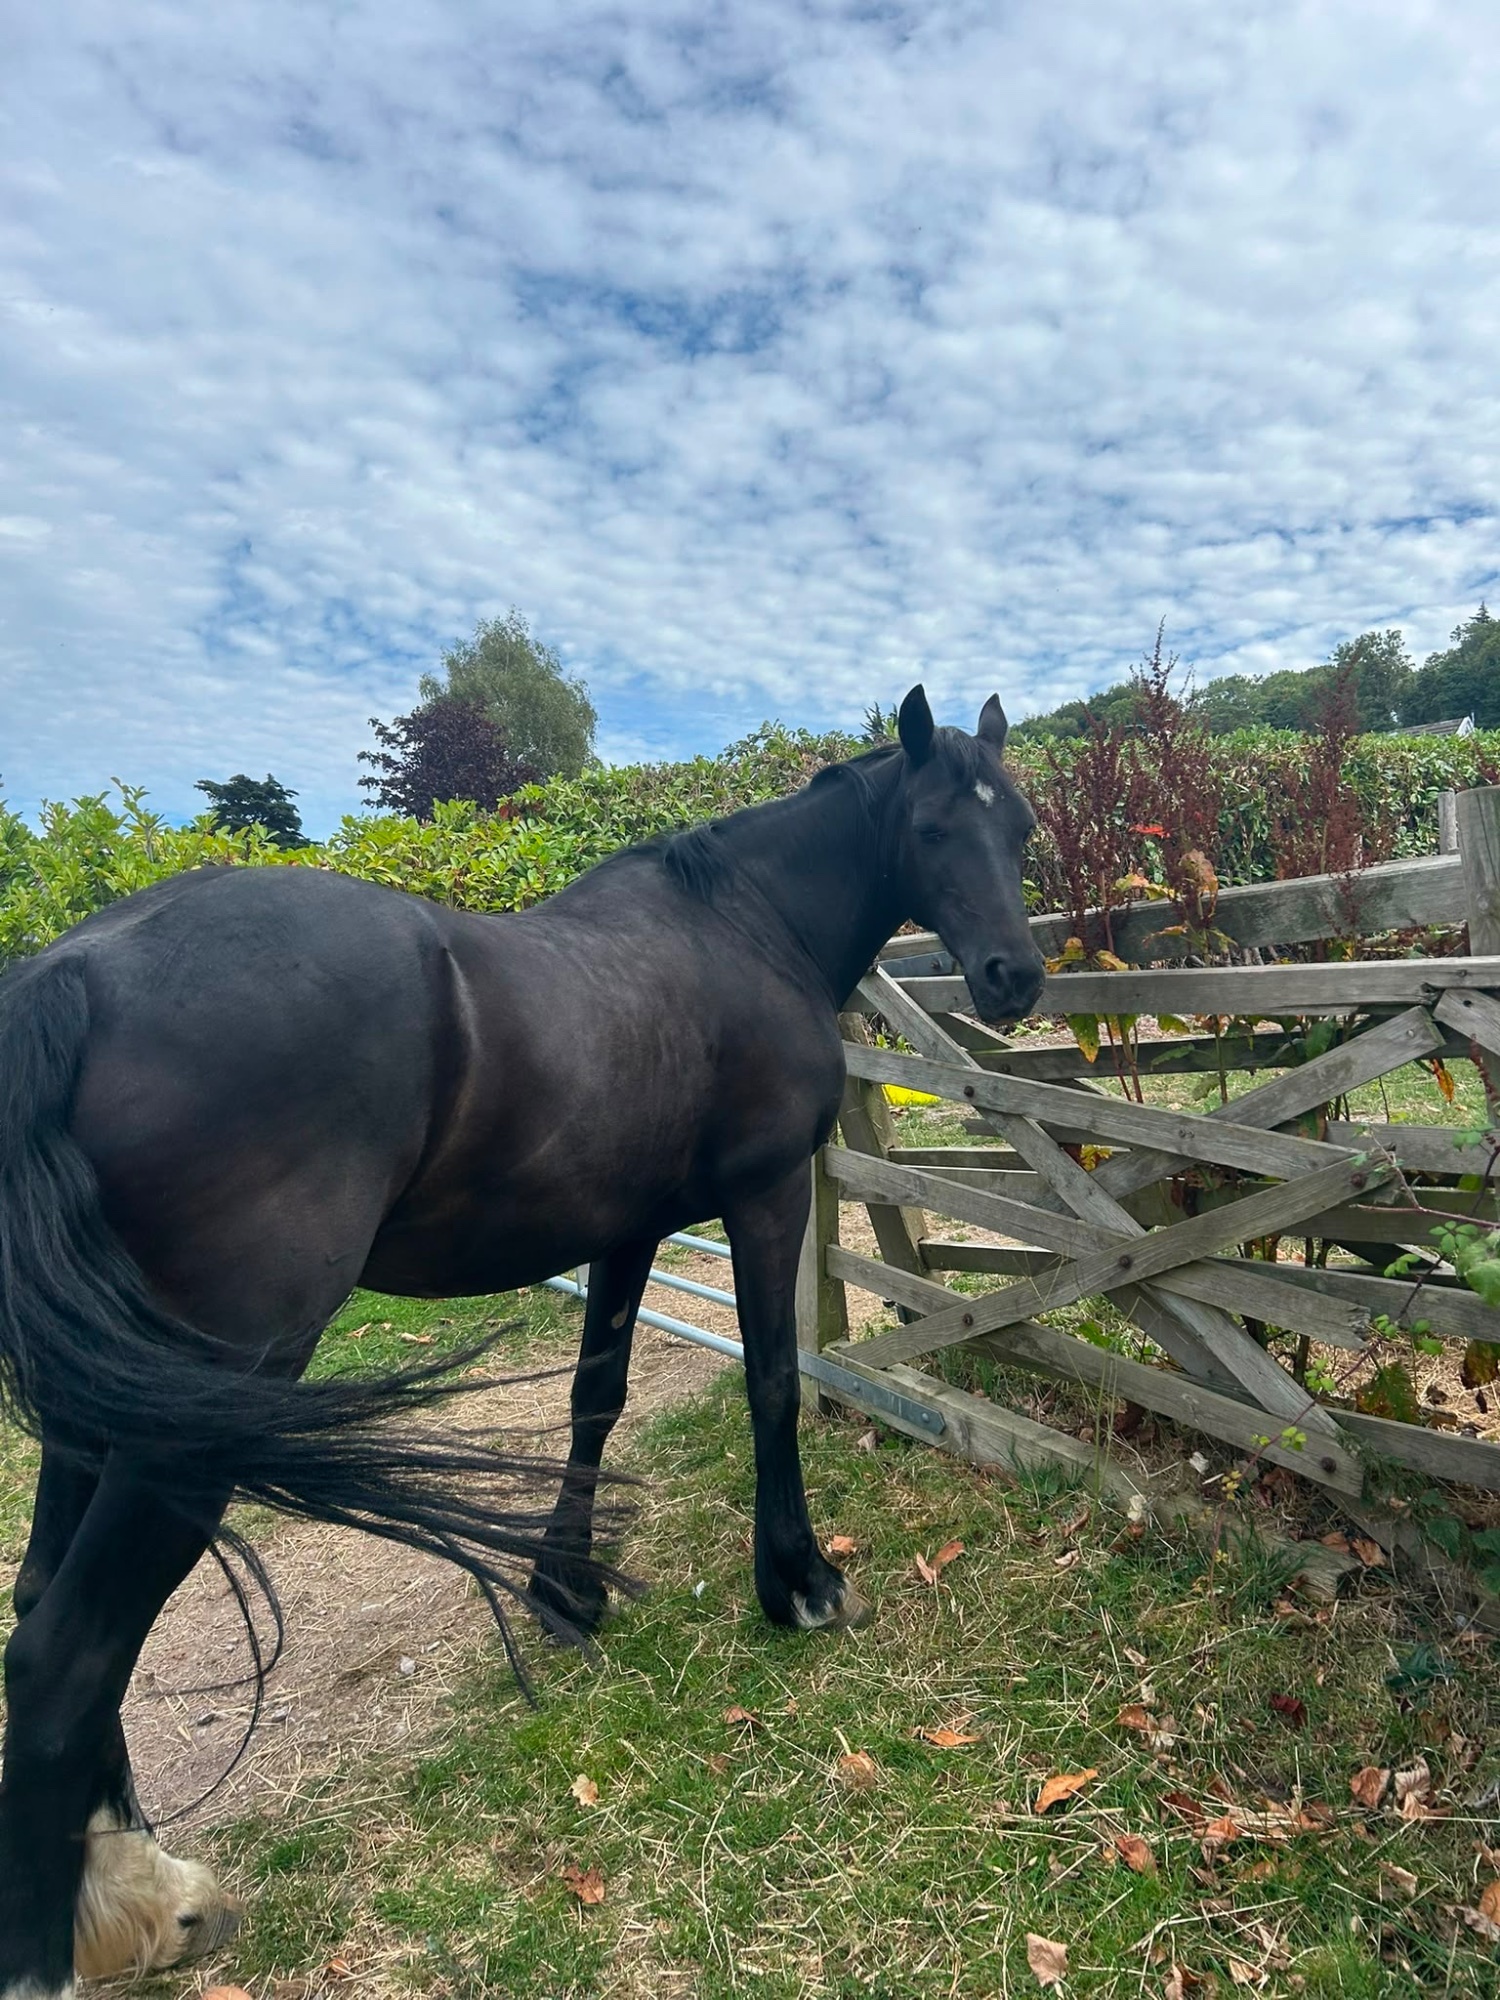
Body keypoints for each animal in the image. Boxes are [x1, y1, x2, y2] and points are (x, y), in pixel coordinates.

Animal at [0, 684, 1043, 1992]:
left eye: (1022, 829)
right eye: (938, 827)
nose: (1016, 975)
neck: (741, 928)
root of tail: (73, 974)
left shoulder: (627, 1228)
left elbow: (596, 1392)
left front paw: (567, 1585)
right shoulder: (762, 1200)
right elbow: (769, 1380)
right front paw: (797, 1580)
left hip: (111, 1399)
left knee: (40, 1604)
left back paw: (148, 1894)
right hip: (199, 1402)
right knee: (64, 1657)